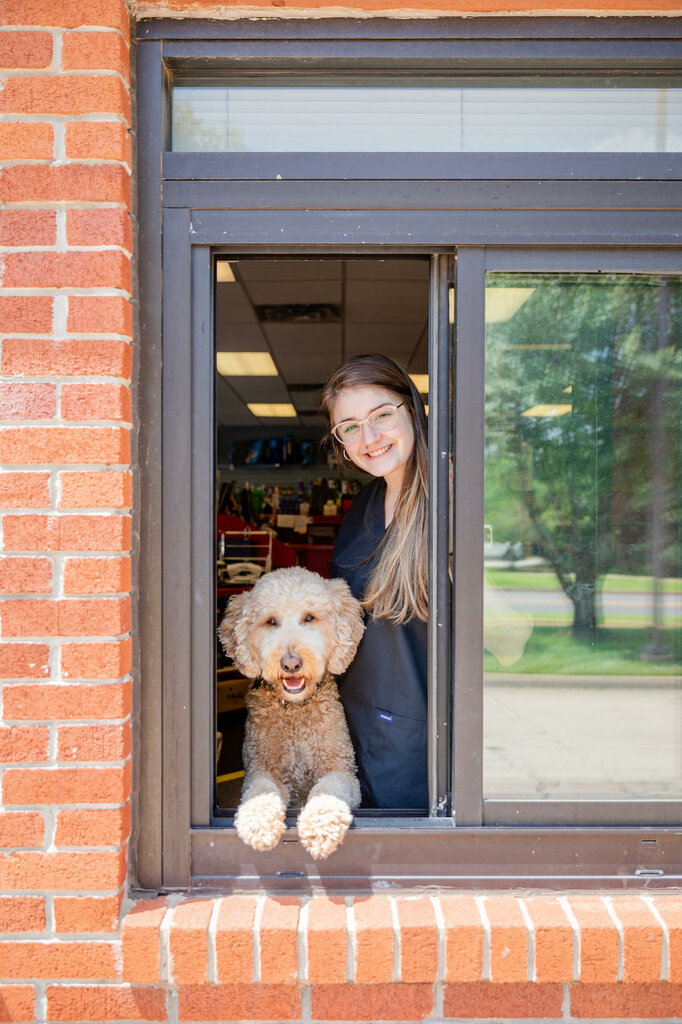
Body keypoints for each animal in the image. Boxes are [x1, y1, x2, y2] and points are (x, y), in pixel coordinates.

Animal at [220, 565, 364, 860]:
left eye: (309, 617)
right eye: (270, 622)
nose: (291, 663)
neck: (296, 712)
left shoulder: (343, 770)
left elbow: (328, 791)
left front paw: (320, 829)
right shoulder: (260, 769)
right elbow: (261, 793)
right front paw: (258, 823)